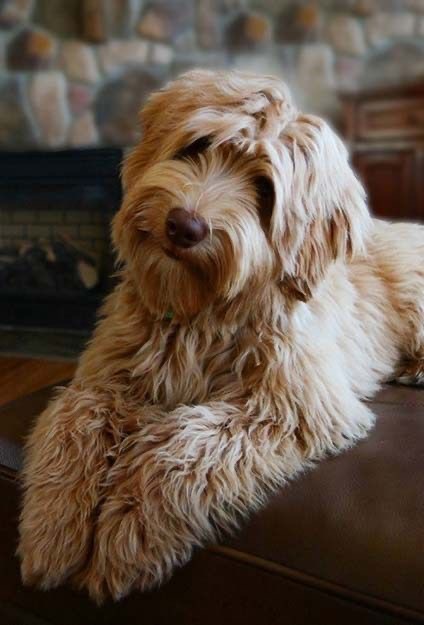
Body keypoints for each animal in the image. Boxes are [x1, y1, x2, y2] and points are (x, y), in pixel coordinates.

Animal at [18, 70, 424, 604]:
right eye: (198, 146)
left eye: (265, 189)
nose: (184, 226)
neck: (199, 313)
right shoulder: (104, 377)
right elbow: (74, 421)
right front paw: (54, 529)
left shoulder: (293, 407)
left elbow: (180, 447)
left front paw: (127, 534)